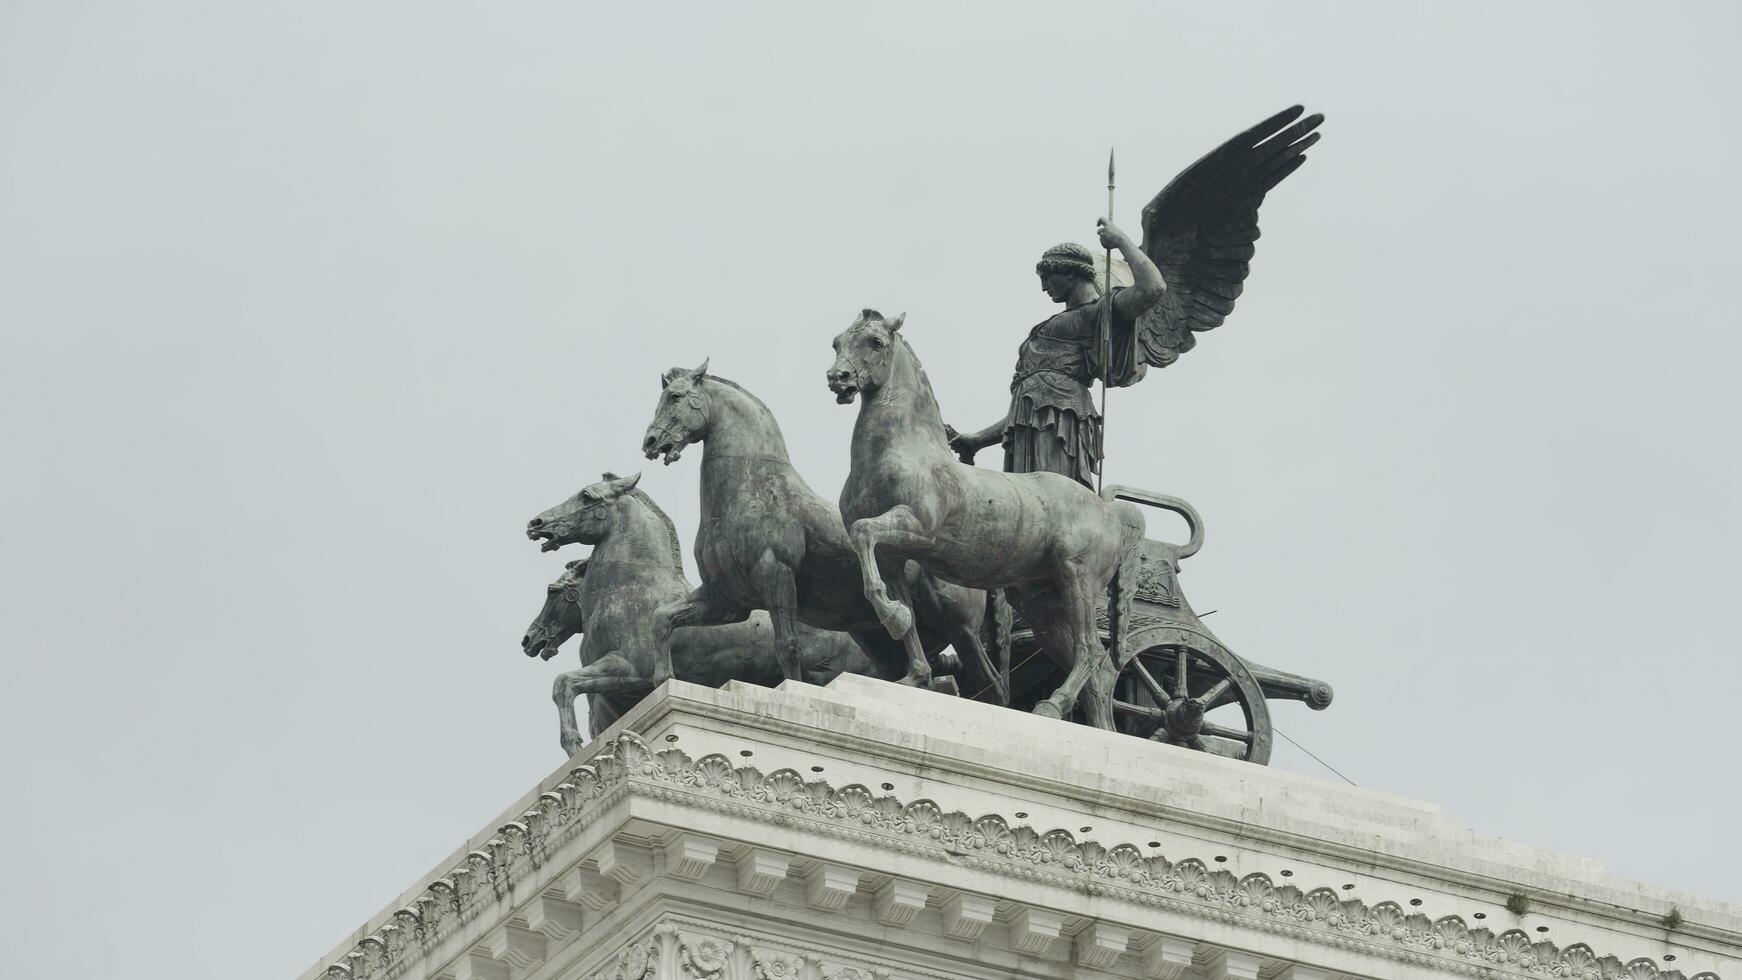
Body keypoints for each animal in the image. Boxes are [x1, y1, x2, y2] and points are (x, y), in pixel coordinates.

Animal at [515, 469, 871, 755]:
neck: (631, 591)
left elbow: (563, 682)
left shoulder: (628, 670)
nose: (536, 524)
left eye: (586, 496)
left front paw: (573, 743)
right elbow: (567, 685)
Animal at [641, 363, 1003, 703]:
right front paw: (662, 680)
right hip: (879, 640)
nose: (651, 442)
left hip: (958, 628)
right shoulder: (725, 599)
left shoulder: (775, 577)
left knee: (993, 683)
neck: (751, 488)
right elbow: (661, 618)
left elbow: (787, 646)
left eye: (675, 397)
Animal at [825, 309, 1149, 731]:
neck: (900, 450)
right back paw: (1097, 728)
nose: (838, 378)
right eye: (837, 341)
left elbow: (864, 533)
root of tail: (1109, 511)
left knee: (1091, 649)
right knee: (1097, 673)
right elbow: (901, 608)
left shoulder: (915, 527)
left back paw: (1051, 705)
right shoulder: (892, 557)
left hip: (1078, 580)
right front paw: (915, 674)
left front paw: (892, 618)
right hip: (1042, 605)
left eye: (876, 342)